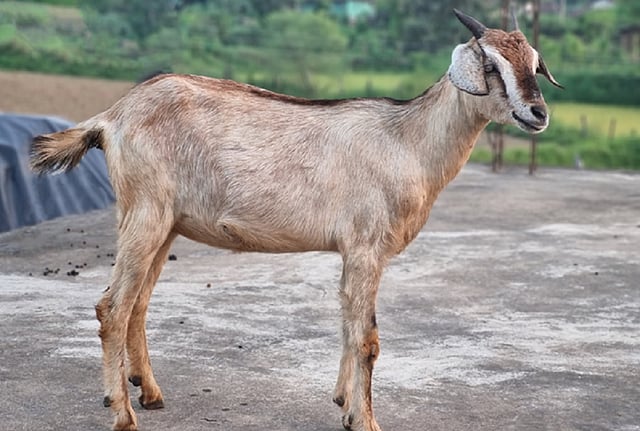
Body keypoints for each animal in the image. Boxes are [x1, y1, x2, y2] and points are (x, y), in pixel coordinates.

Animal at [30, 9, 561, 431]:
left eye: (534, 64)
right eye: (490, 66)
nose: (538, 114)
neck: (407, 141)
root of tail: (111, 117)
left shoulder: (355, 252)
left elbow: (348, 323)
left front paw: (343, 401)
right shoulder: (367, 245)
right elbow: (367, 338)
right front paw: (365, 420)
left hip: (164, 222)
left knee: (137, 303)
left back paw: (150, 393)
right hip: (146, 212)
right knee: (113, 308)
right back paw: (123, 413)